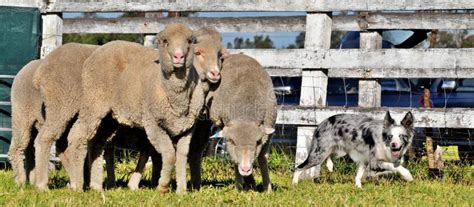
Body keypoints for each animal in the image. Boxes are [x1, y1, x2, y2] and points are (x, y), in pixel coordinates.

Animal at [61, 23, 204, 193]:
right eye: (165, 41)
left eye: (189, 41)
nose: (178, 57)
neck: (177, 98)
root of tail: (98, 50)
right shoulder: (153, 124)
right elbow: (169, 155)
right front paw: (162, 187)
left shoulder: (188, 127)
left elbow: (181, 156)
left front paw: (182, 191)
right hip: (94, 102)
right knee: (77, 135)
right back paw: (77, 185)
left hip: (109, 117)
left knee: (96, 142)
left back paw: (96, 186)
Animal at [190, 53, 278, 191]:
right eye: (232, 141)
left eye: (257, 142)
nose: (245, 169)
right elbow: (233, 156)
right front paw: (239, 187)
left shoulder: (268, 129)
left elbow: (263, 157)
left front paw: (267, 189)